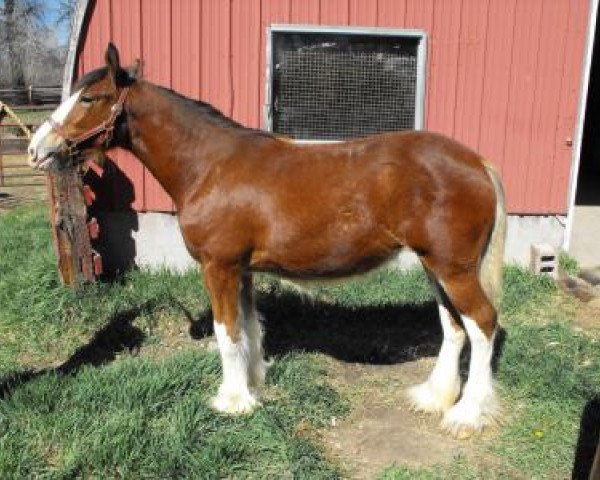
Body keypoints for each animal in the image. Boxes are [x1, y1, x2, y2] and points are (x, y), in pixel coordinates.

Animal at [28, 45, 506, 438]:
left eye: (88, 99)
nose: (37, 149)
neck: (209, 165)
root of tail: (477, 162)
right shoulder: (240, 270)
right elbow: (249, 327)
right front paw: (254, 382)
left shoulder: (218, 266)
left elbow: (226, 332)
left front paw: (232, 402)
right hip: (435, 265)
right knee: (454, 326)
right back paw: (434, 396)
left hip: (453, 268)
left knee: (482, 324)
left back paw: (466, 415)